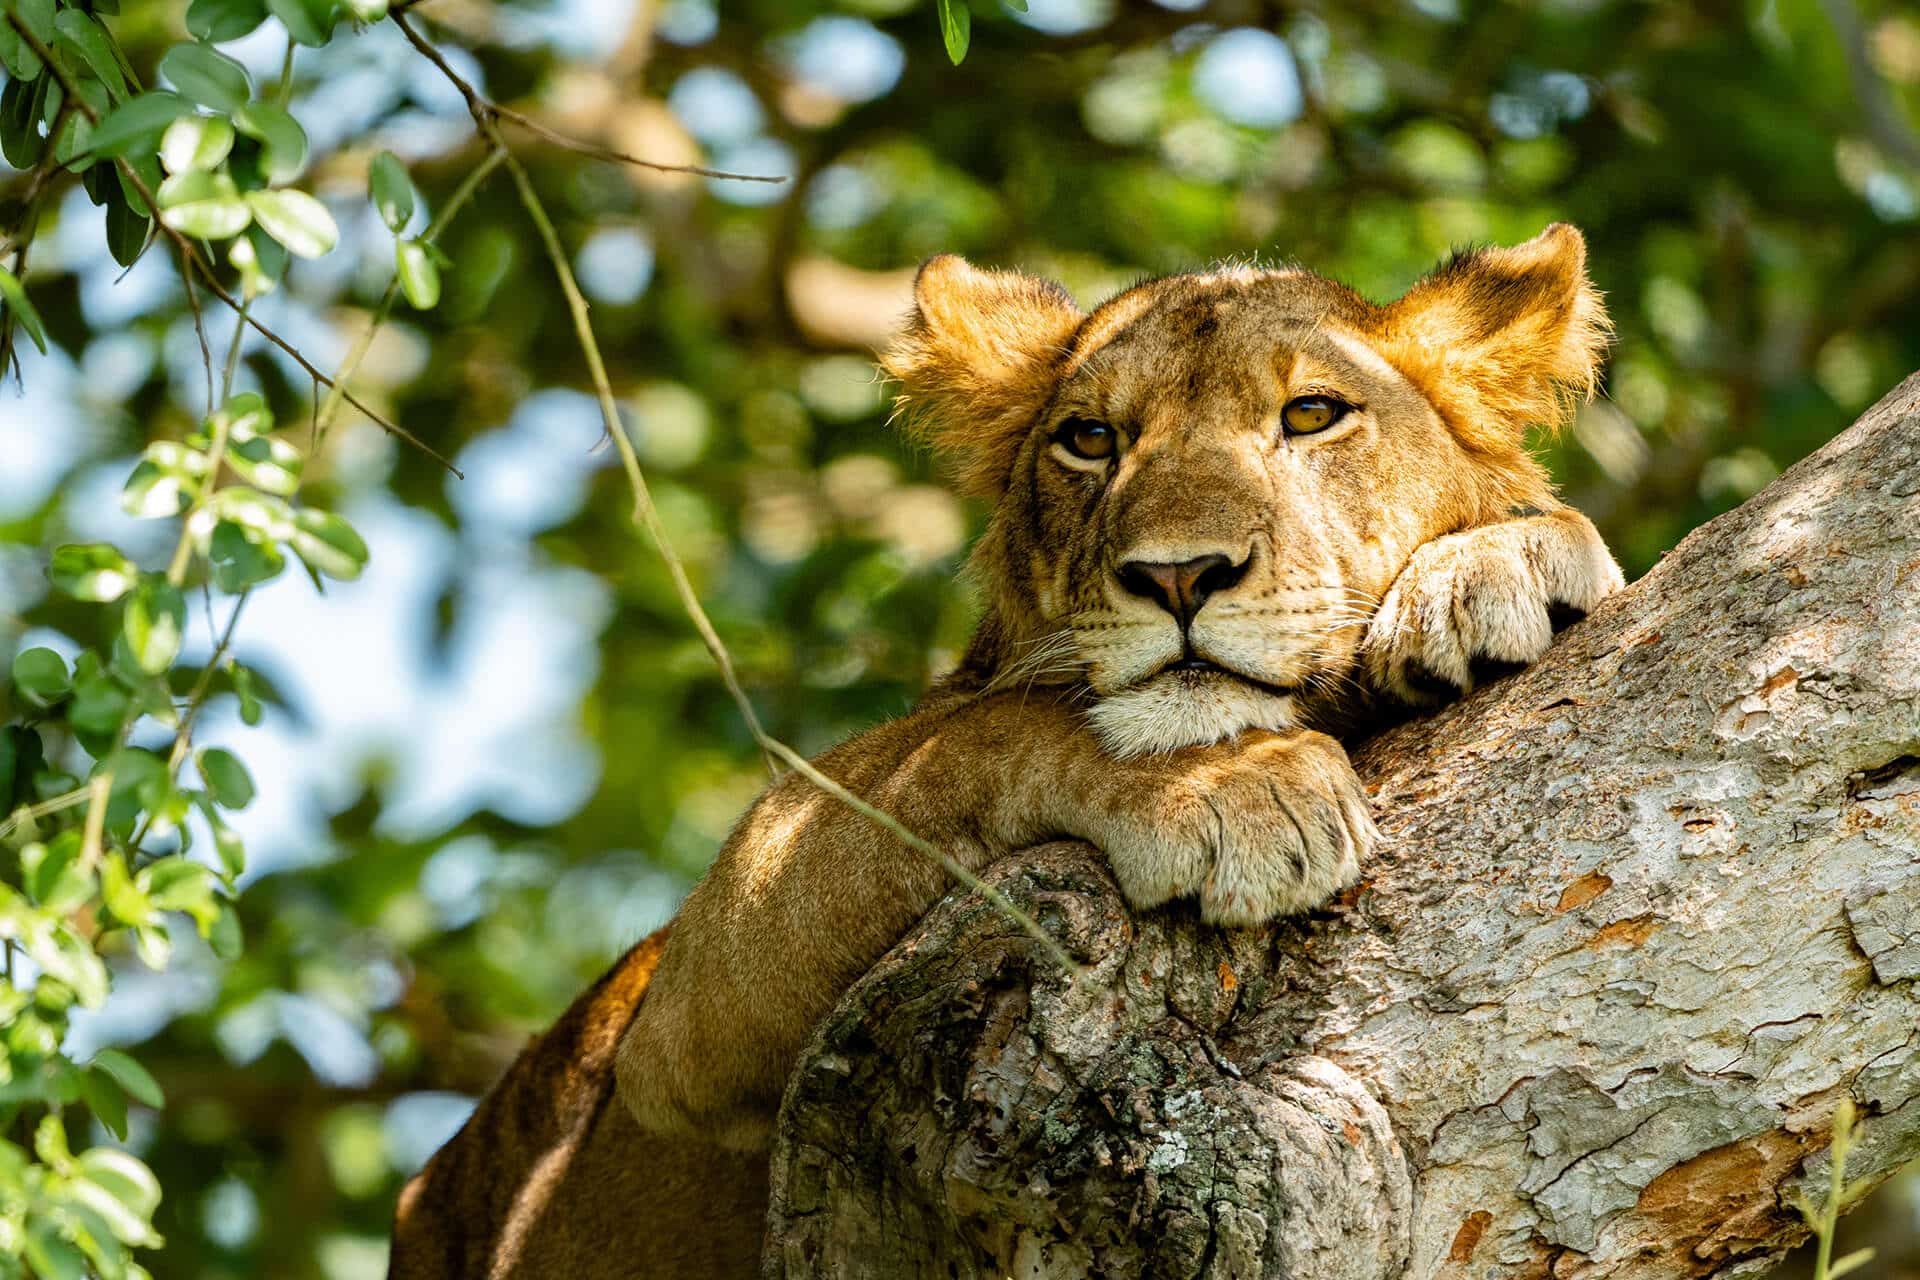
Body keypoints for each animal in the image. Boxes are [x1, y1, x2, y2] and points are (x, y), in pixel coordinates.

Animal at [385, 225, 1620, 1274]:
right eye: (1092, 439)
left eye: (1312, 414)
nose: (1178, 575)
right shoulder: (692, 1001)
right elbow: (994, 727)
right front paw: (1230, 787)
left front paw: (1500, 564)